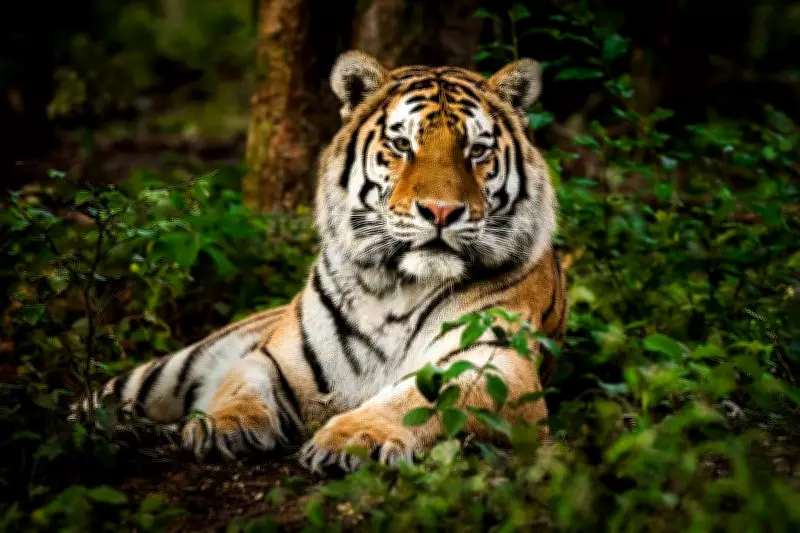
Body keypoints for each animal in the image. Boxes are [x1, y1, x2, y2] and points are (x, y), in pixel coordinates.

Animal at [70, 50, 568, 473]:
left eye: (476, 150)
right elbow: (239, 385)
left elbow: (419, 401)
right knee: (92, 400)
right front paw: (223, 426)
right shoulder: (274, 357)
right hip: (170, 370)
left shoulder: (494, 363)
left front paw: (355, 438)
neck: (398, 287)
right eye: (402, 145)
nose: (441, 211)